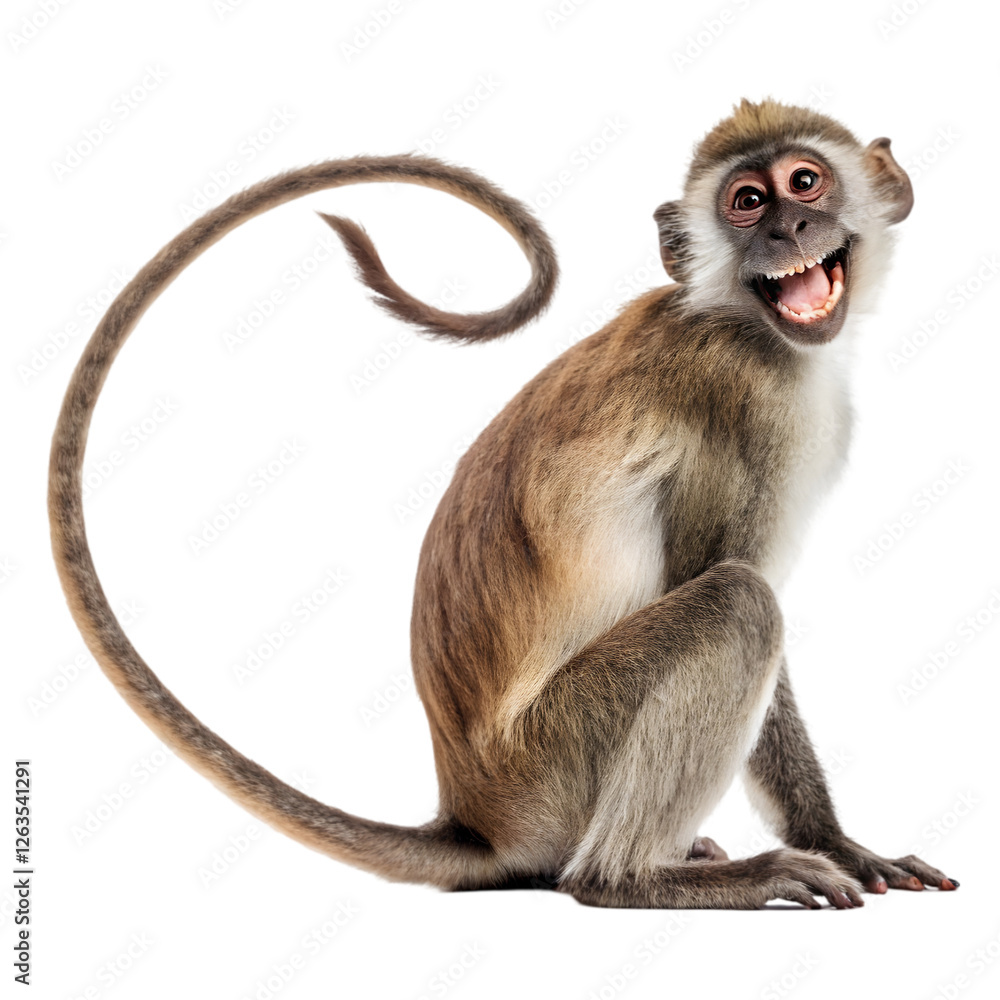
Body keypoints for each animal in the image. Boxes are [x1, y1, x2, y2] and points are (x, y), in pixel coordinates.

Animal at [49, 98, 959, 910]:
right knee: (736, 604)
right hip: (555, 757)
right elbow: (723, 576)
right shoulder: (749, 397)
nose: (788, 231)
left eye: (804, 183)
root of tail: (475, 813)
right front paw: (833, 842)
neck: (737, 319)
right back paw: (631, 880)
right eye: (747, 202)